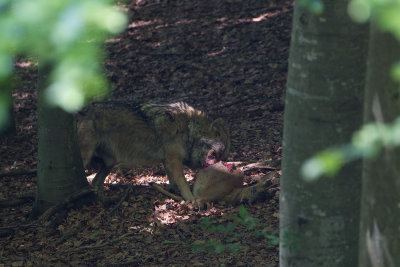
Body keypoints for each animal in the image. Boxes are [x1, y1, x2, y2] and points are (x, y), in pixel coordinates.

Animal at [76, 100, 230, 201]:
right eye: (218, 152)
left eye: (223, 155)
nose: (221, 165)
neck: (188, 129)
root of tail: (81, 112)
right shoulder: (174, 160)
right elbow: (183, 181)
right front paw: (191, 199)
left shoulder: (167, 160)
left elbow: (172, 180)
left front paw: (173, 191)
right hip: (87, 158)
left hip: (110, 162)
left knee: (96, 181)